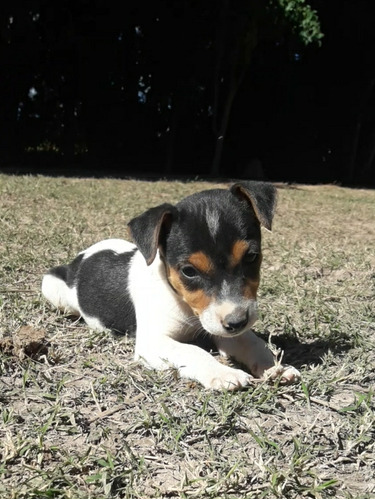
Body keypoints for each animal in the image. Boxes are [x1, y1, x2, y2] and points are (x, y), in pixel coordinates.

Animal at [41, 181, 302, 390]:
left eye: (251, 257)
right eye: (189, 271)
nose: (237, 321)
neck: (183, 303)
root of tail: (80, 257)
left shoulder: (224, 329)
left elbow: (253, 343)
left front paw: (275, 366)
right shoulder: (153, 342)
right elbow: (192, 350)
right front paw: (223, 372)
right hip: (51, 286)